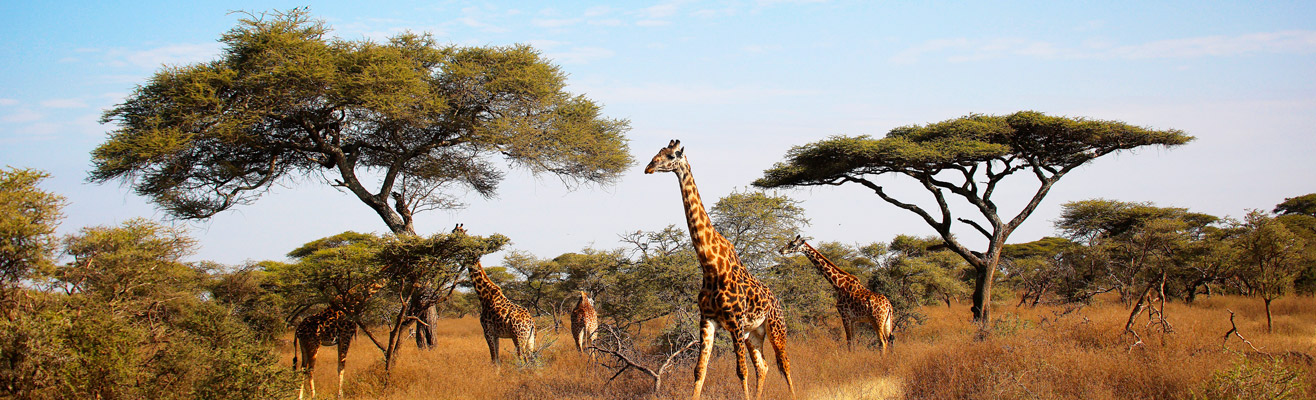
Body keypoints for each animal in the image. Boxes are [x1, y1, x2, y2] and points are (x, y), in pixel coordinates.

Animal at [450, 223, 536, 368]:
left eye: (455, 231)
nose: (449, 239)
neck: (484, 295)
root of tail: (531, 322)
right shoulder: (496, 334)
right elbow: (497, 359)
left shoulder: (487, 331)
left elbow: (494, 359)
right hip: (530, 339)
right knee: (532, 360)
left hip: (519, 337)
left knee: (523, 359)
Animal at [644, 140, 794, 400]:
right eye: (658, 153)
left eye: (672, 155)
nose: (649, 167)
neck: (710, 265)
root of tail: (776, 300)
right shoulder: (707, 319)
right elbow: (699, 370)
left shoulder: (734, 321)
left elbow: (741, 371)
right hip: (754, 334)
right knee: (763, 366)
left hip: (776, 328)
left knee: (784, 364)